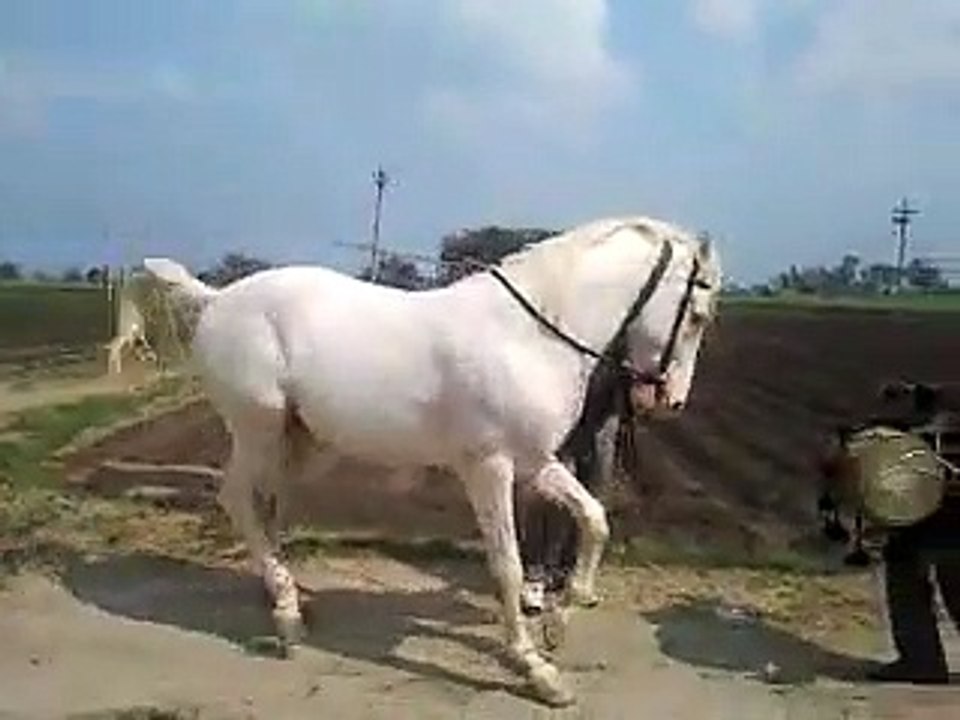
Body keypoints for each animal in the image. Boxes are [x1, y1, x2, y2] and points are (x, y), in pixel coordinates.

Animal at [142, 215, 722, 706]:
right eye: (696, 316)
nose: (670, 400)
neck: (529, 335)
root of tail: (218, 298)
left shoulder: (534, 461)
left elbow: (594, 518)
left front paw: (564, 614)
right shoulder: (488, 467)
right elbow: (508, 565)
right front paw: (536, 670)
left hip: (302, 442)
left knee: (268, 504)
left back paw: (284, 596)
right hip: (258, 430)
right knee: (239, 498)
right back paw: (286, 615)